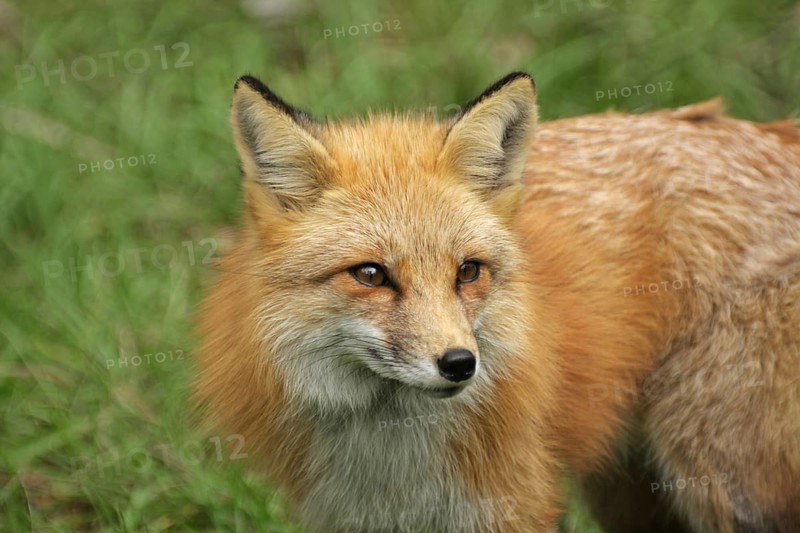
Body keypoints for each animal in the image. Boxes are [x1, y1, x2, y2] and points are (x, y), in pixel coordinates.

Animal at [194, 71, 800, 532]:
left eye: (467, 271)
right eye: (370, 274)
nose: (460, 364)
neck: (394, 456)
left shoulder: (513, 504)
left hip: (724, 478)